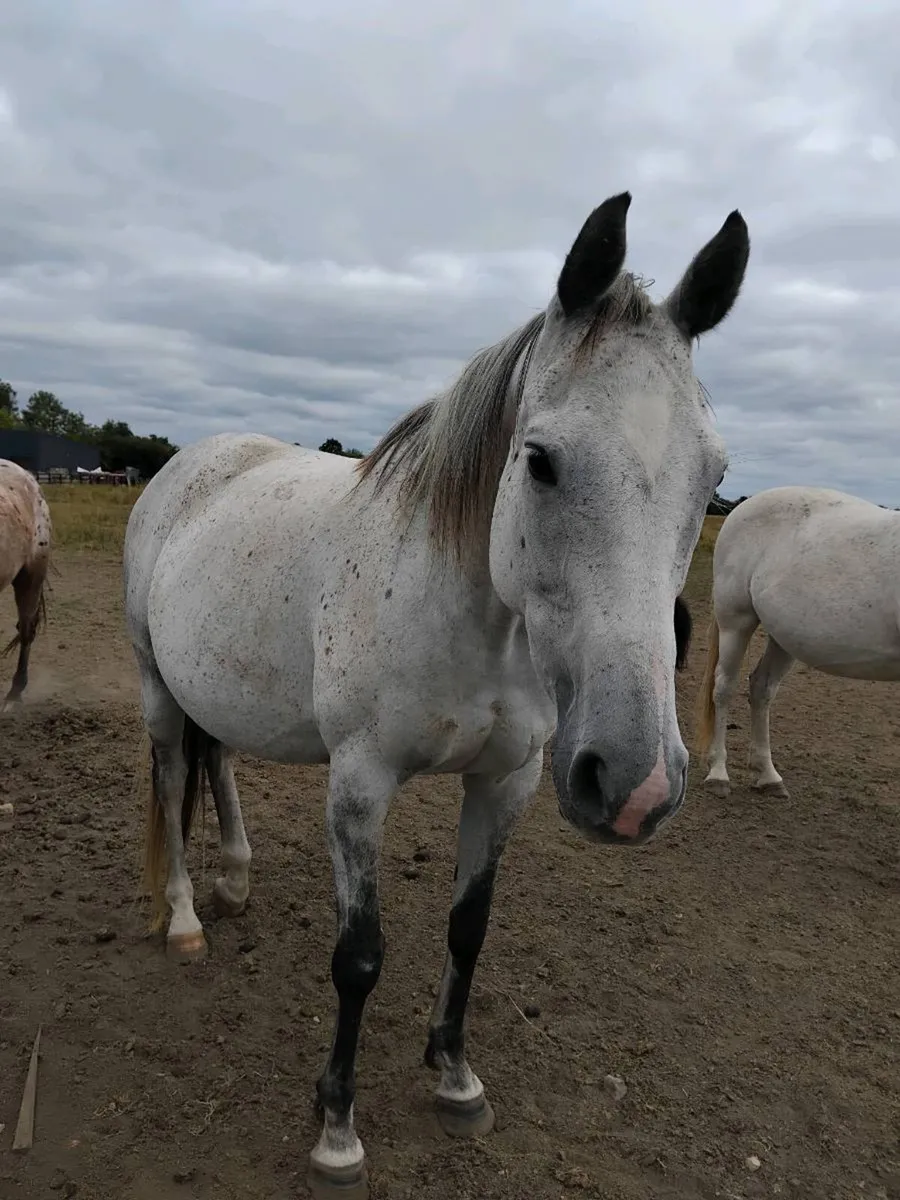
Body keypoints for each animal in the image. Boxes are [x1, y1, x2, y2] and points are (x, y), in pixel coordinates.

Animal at [123, 191, 749, 1199]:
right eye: (540, 461)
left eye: (714, 477)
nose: (637, 784)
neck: (469, 616)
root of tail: (192, 464)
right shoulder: (359, 785)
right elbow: (359, 958)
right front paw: (337, 1125)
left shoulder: (508, 782)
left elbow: (468, 930)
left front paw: (455, 1075)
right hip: (154, 685)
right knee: (174, 774)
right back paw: (184, 919)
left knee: (216, 765)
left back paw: (237, 877)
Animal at [696, 485, 900, 799]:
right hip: (736, 623)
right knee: (723, 688)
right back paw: (719, 773)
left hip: (784, 638)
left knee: (761, 687)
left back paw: (768, 776)